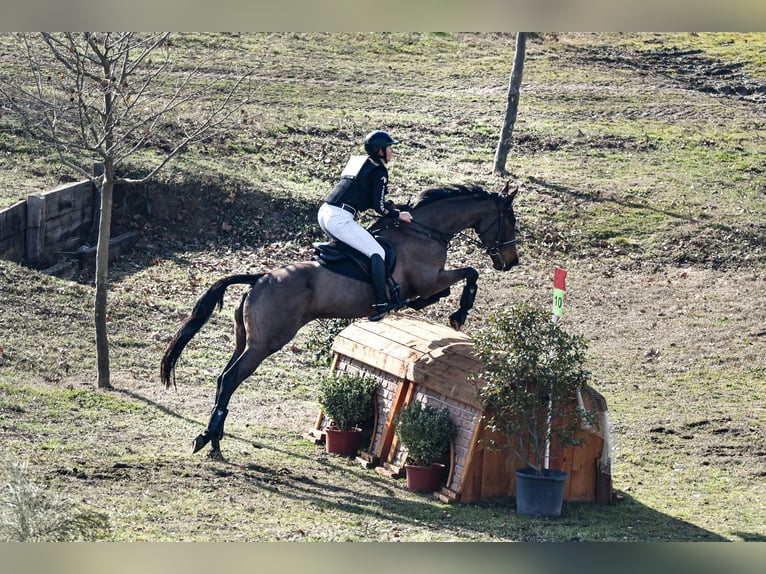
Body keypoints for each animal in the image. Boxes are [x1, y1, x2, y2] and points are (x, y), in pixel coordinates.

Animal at [162, 182, 520, 462]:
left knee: (223, 378)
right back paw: (209, 438)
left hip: (245, 340)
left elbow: (447, 287)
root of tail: (259, 278)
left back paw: (212, 441)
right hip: (265, 344)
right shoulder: (429, 279)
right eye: (511, 222)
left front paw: (427, 308)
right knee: (230, 379)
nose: (510, 262)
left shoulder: (430, 282)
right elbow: (468, 275)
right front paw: (458, 314)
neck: (425, 230)